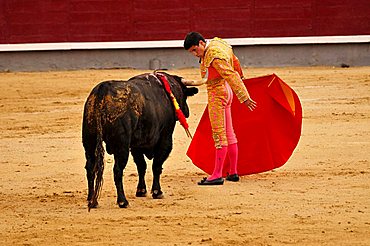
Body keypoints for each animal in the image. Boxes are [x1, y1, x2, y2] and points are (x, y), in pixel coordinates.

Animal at [81, 72, 197, 209]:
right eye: (185, 95)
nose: (187, 112)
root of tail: (102, 90)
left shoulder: (137, 146)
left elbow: (141, 166)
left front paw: (141, 191)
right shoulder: (165, 140)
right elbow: (156, 166)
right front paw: (157, 192)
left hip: (89, 141)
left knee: (90, 168)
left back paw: (91, 200)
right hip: (121, 146)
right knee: (117, 170)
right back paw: (122, 201)